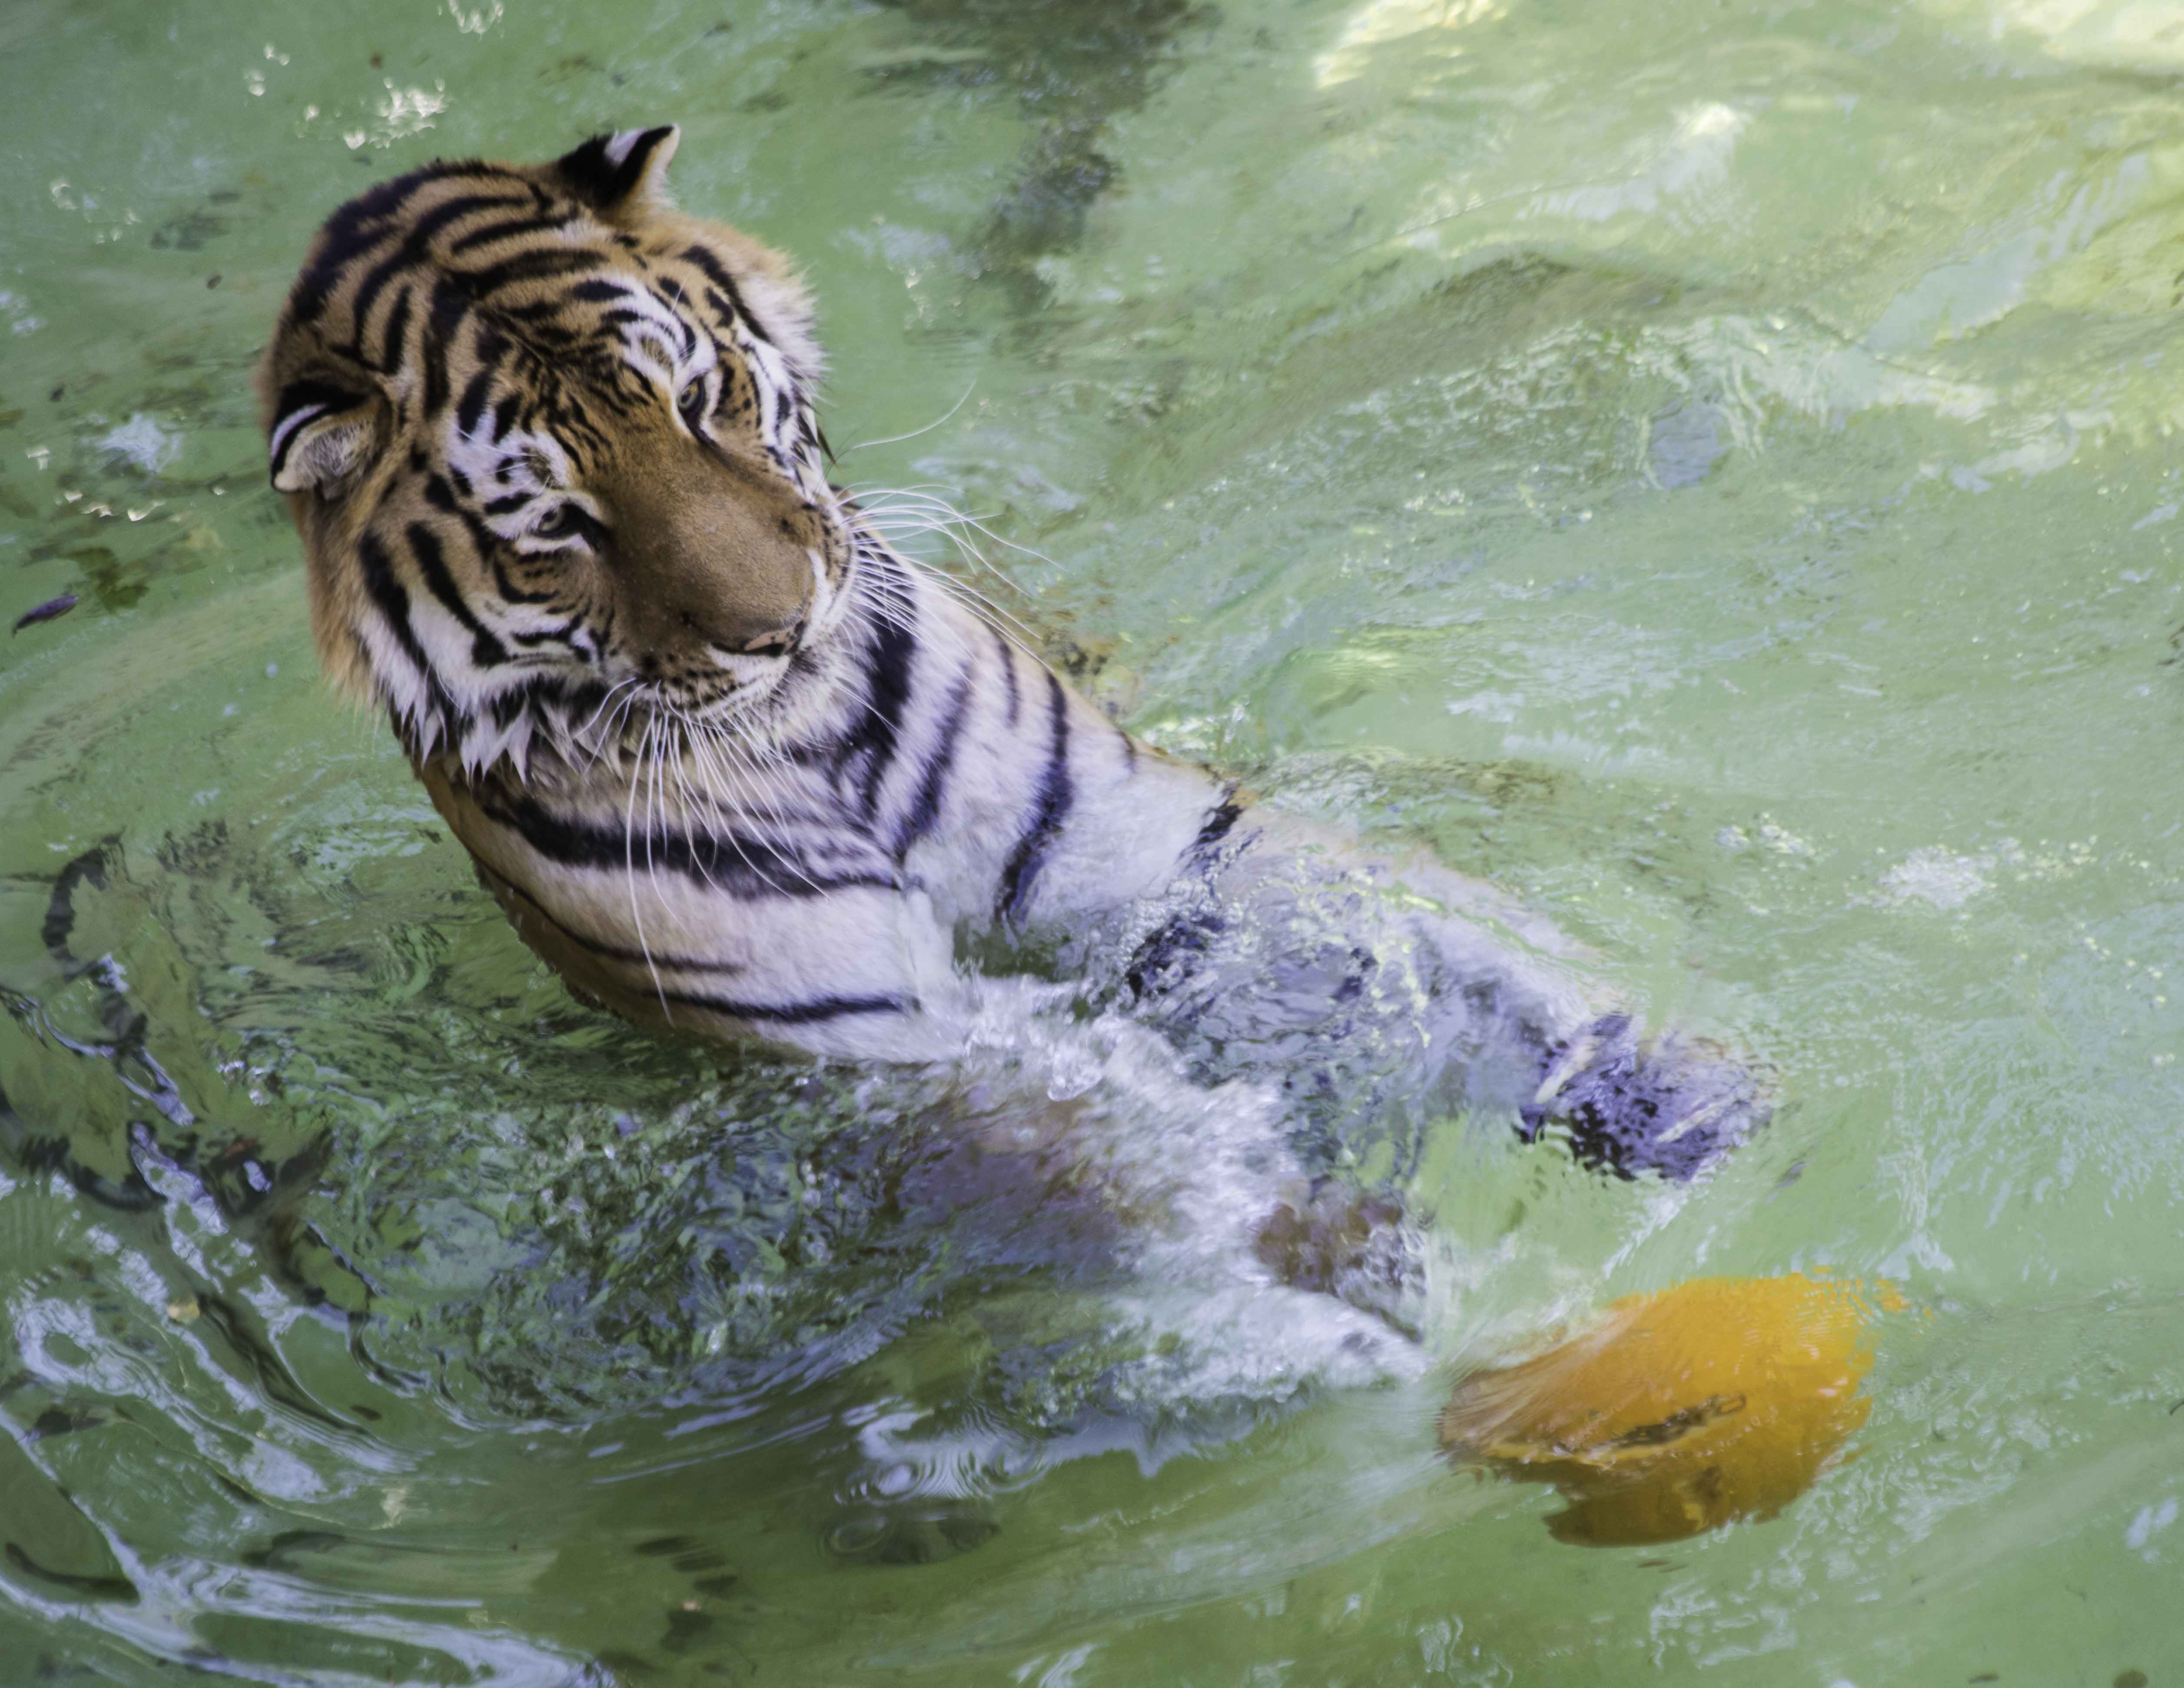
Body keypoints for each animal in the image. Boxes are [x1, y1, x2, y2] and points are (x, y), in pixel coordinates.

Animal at [257, 123, 1762, 1244]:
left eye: (697, 401)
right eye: (557, 523)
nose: (779, 627)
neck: (817, 747)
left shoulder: (1153, 849)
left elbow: (1457, 945)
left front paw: (1682, 1089)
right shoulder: (878, 1049)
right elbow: (1117, 1151)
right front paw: (1333, 1258)